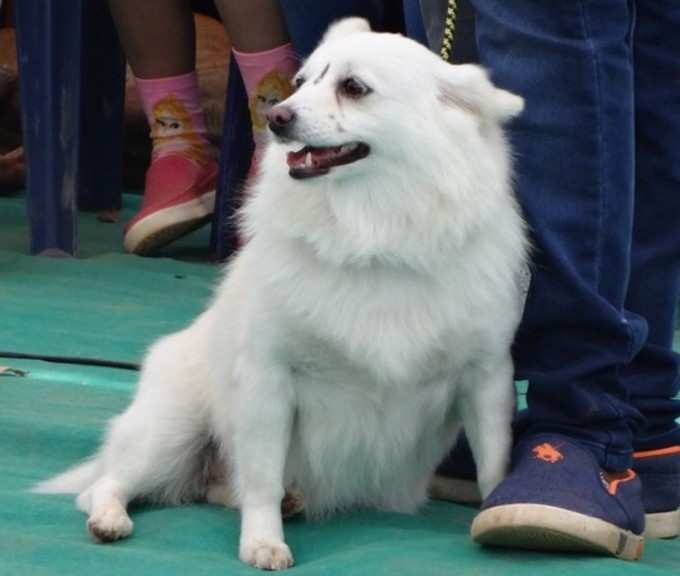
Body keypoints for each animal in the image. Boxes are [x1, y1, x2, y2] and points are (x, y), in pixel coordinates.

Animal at [35, 19, 524, 572]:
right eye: (301, 82)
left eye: (353, 87)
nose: (275, 116)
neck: (372, 231)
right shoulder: (268, 381)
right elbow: (263, 477)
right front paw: (263, 542)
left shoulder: (486, 378)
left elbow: (494, 464)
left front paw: (497, 510)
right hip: (171, 431)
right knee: (105, 485)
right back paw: (111, 518)